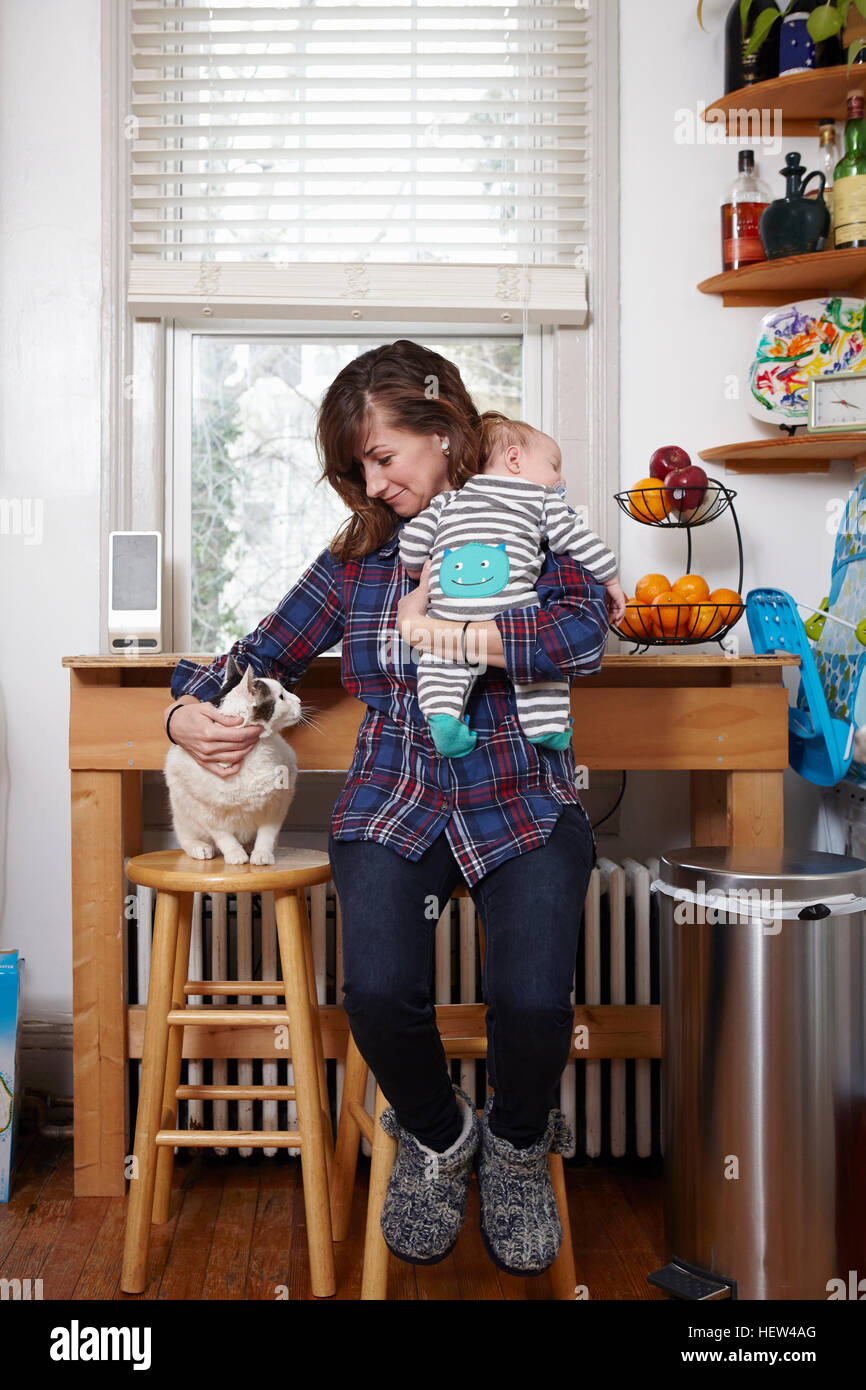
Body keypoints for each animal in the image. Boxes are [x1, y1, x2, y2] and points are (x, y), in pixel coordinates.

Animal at [164, 656, 303, 861]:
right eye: (281, 697)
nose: (299, 701)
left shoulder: (279, 801)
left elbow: (268, 831)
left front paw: (262, 854)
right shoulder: (203, 809)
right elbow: (222, 834)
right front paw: (234, 854)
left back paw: (251, 846)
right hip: (182, 811)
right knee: (186, 836)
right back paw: (200, 847)